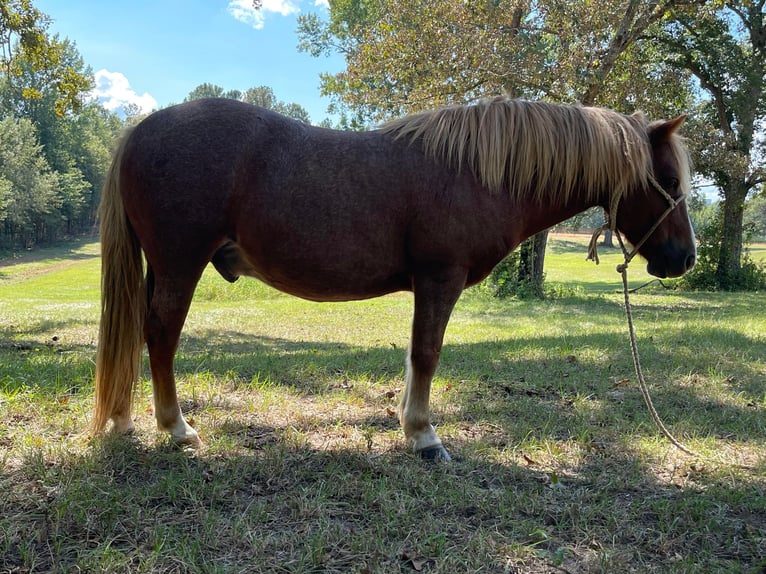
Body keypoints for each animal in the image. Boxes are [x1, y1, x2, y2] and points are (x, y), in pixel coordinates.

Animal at [93, 97, 700, 462]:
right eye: (670, 181)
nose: (685, 259)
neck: (475, 171)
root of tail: (141, 129)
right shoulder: (439, 279)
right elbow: (427, 354)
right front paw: (425, 437)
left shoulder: (426, 285)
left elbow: (414, 356)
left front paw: (409, 423)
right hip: (179, 264)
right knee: (161, 336)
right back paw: (175, 427)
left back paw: (123, 420)